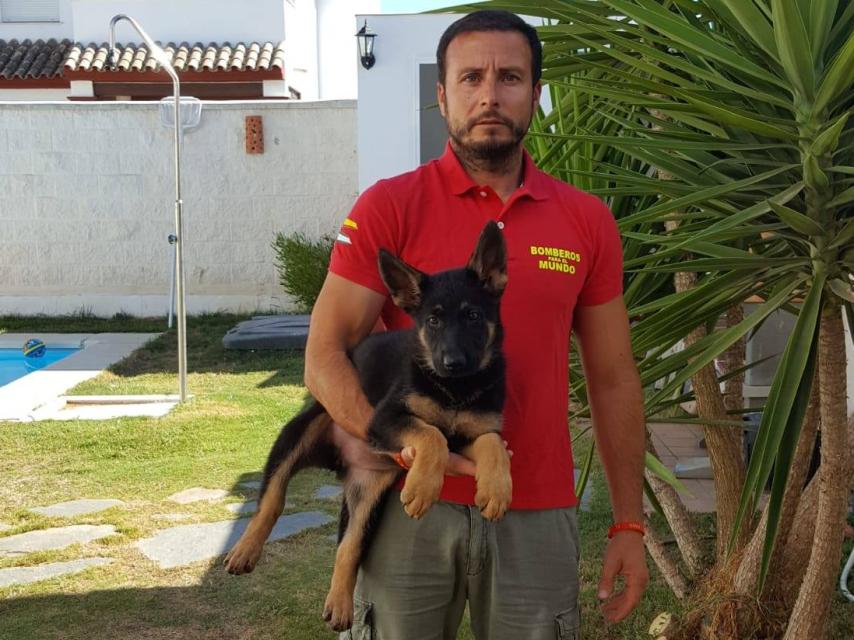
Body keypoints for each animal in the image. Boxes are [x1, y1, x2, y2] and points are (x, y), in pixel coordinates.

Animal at [224, 220, 512, 632]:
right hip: (299, 431)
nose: (452, 363)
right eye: (433, 320)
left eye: (473, 316)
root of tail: (341, 465)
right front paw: (423, 487)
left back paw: (340, 604)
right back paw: (245, 550)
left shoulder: (472, 433)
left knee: (350, 544)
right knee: (272, 497)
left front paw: (497, 489)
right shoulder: (386, 419)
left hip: (370, 498)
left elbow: (491, 443)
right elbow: (432, 435)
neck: (456, 390)